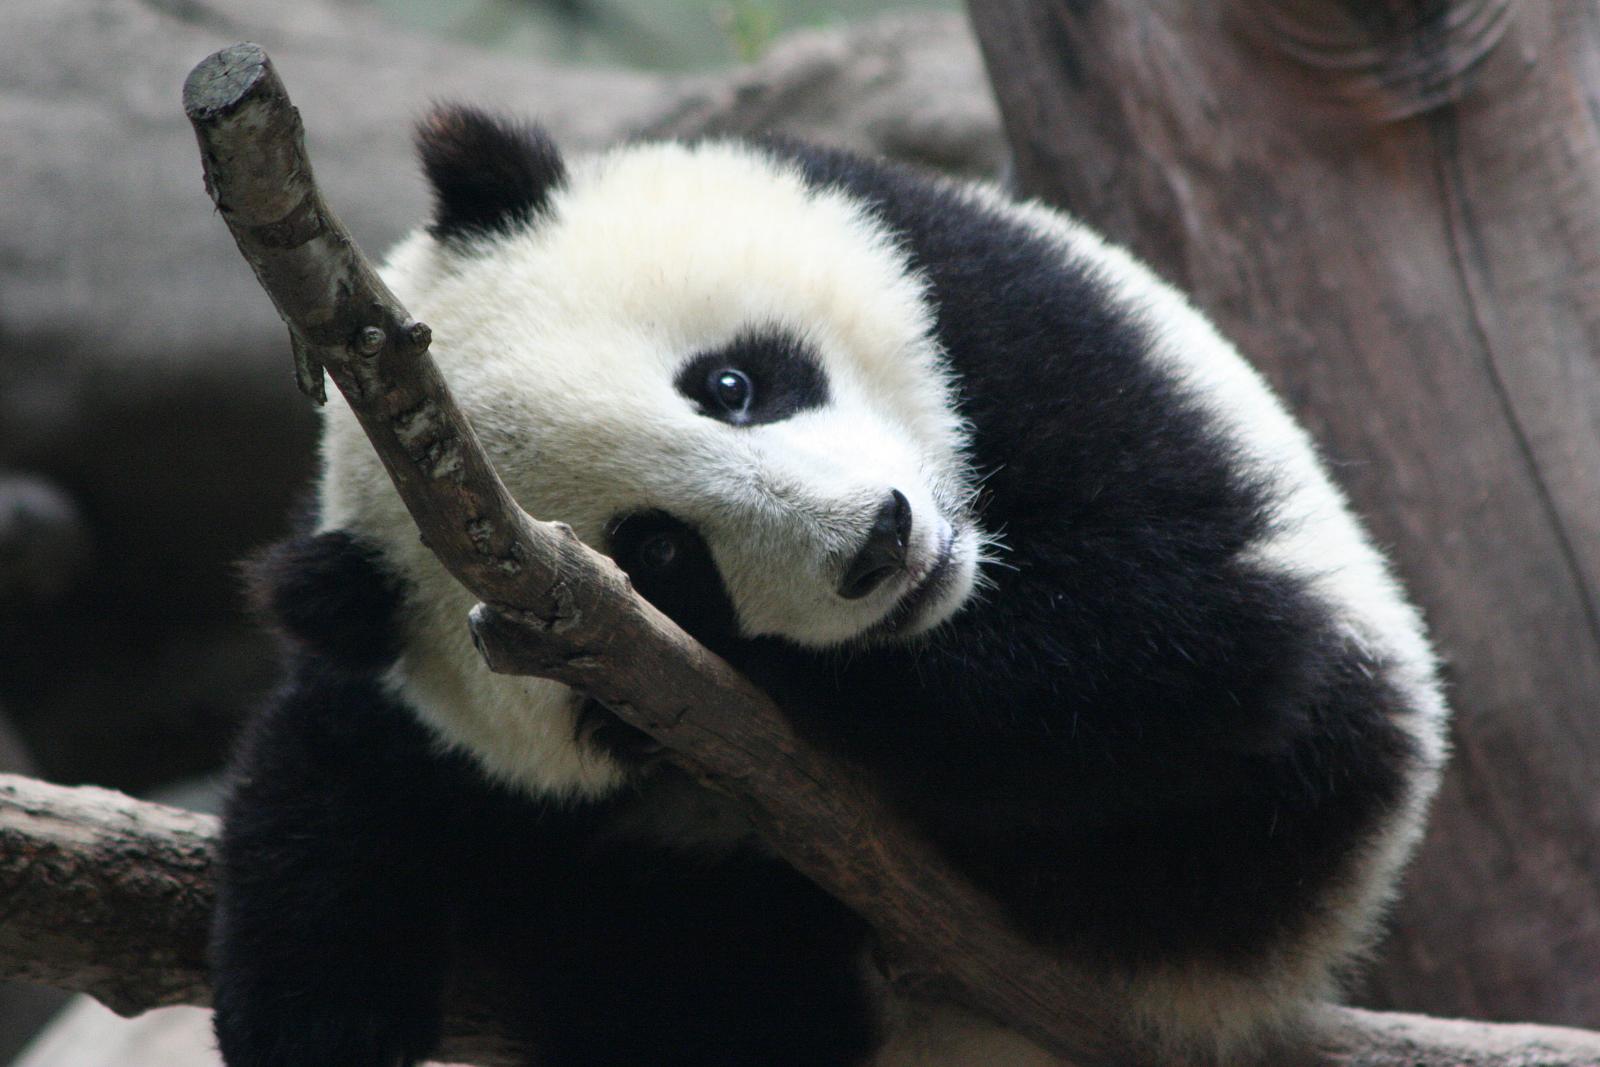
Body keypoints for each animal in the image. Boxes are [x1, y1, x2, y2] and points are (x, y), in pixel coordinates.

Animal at [209, 106, 1452, 1067]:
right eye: (659, 557)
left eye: (730, 384)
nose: (880, 544)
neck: (964, 605)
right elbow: (353, 753)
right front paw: (317, 1010)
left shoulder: (1018, 320)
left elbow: (1208, 638)